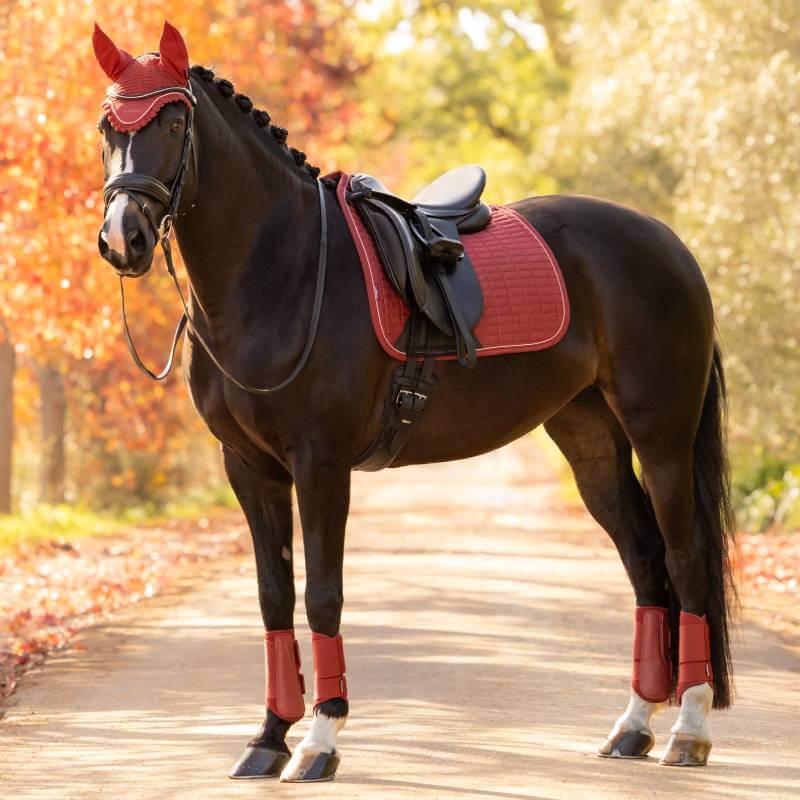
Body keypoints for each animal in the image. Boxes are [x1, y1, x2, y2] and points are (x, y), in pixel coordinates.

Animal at [93, 22, 735, 783]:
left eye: (173, 120)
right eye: (108, 126)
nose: (123, 238)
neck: (281, 271)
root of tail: (671, 244)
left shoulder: (320, 464)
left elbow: (323, 593)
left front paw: (320, 739)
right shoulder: (248, 467)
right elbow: (274, 595)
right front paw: (267, 738)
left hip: (661, 437)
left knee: (686, 559)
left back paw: (688, 730)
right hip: (591, 442)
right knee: (645, 563)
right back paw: (633, 726)